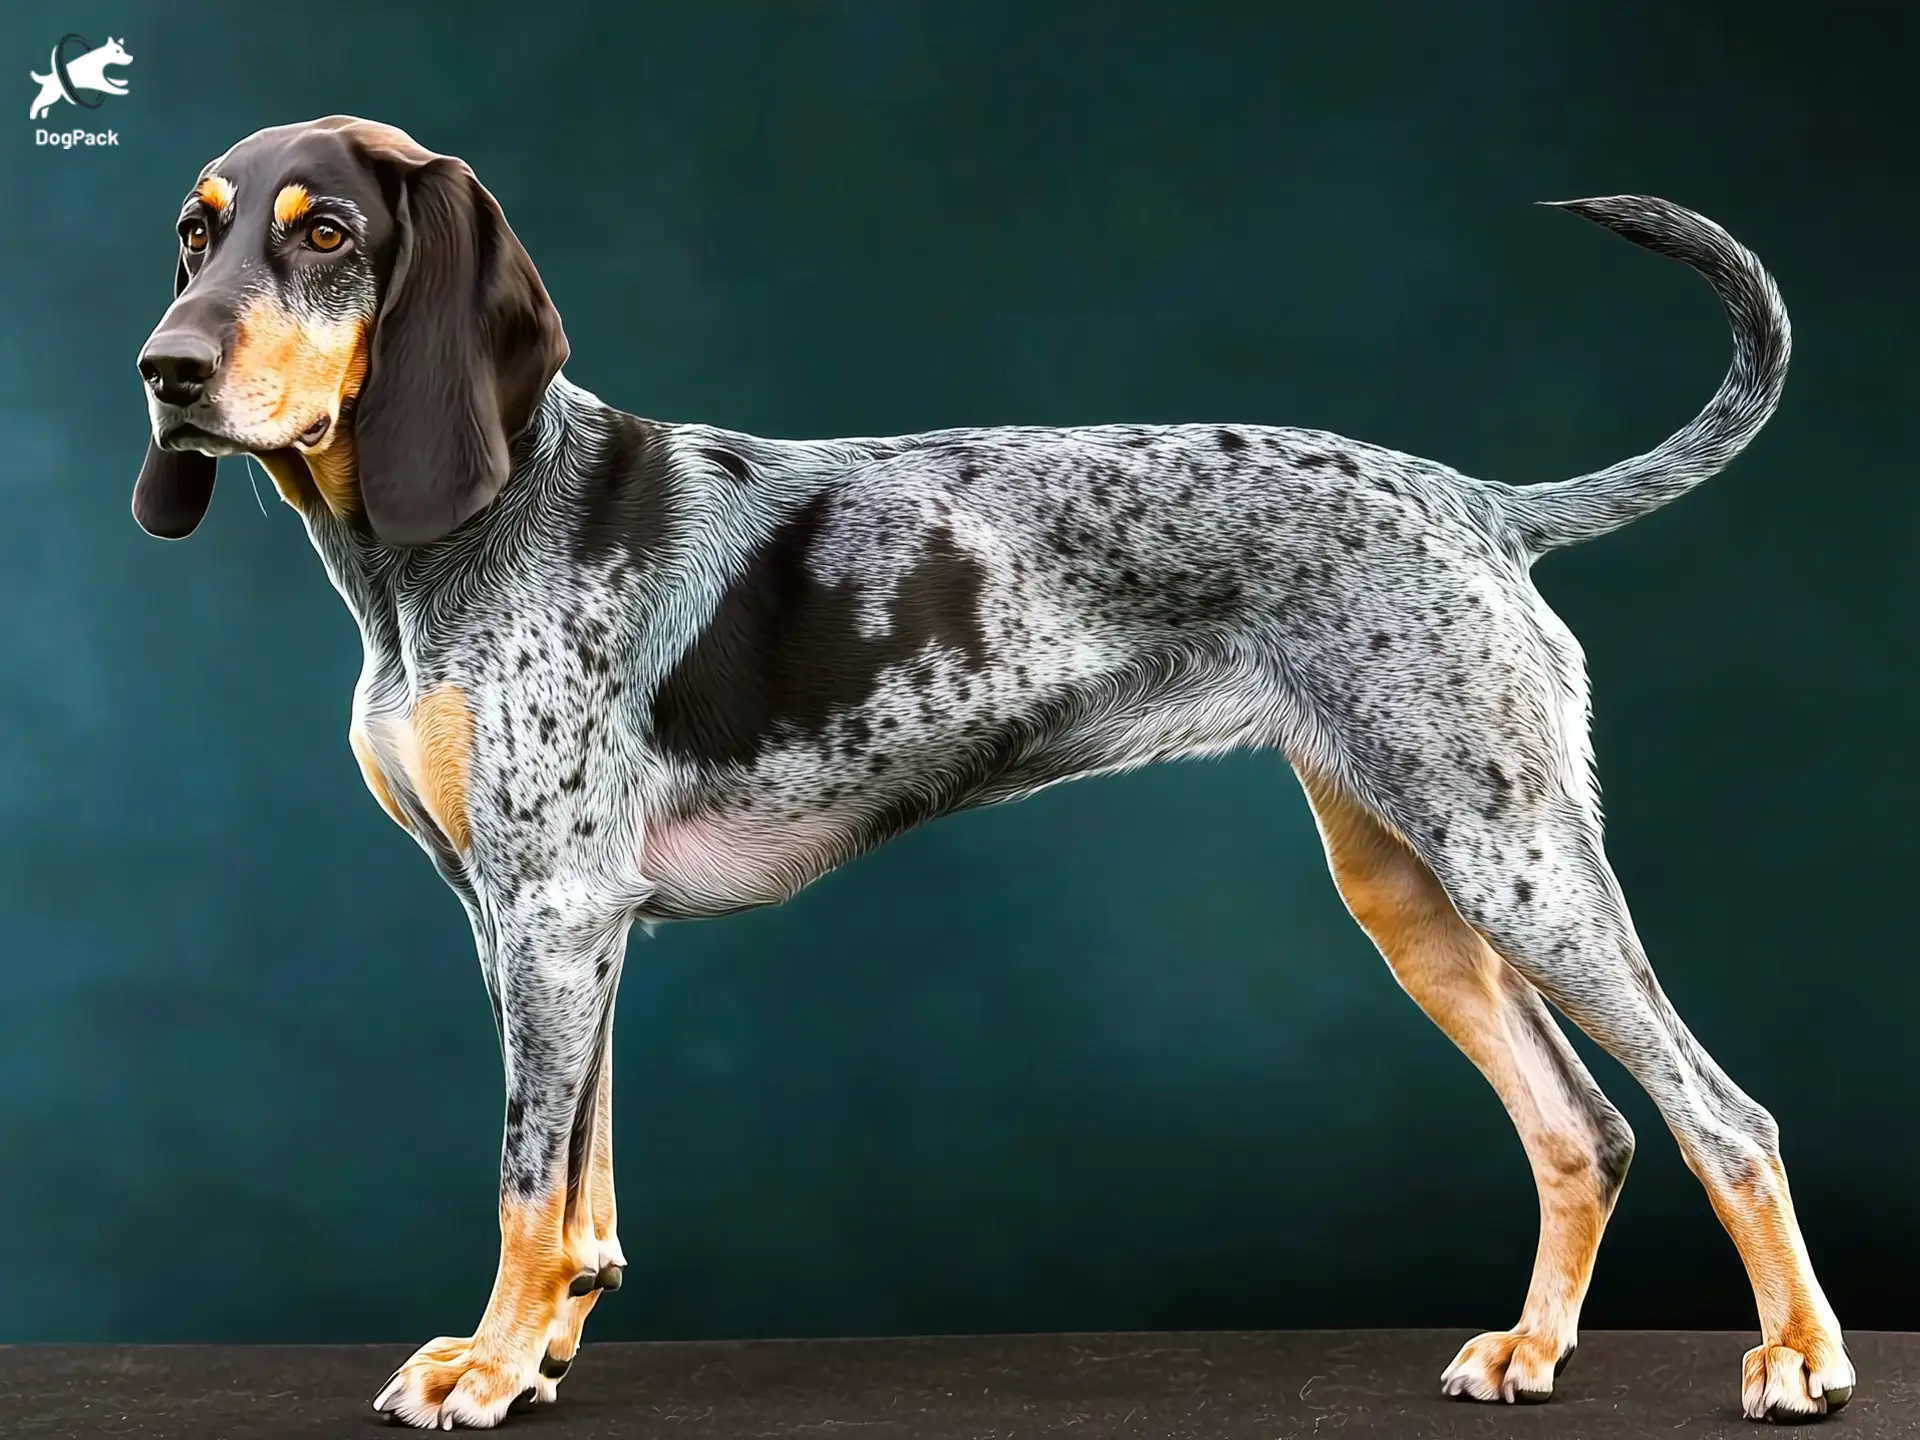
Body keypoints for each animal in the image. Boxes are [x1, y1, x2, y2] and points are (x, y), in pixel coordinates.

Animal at [127, 118, 1850, 1428]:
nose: (165, 370)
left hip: (1518, 867)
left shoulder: (550, 913)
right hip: (1411, 889)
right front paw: (539, 1348)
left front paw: (486, 1368)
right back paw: (1534, 1350)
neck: (448, 548)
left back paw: (1799, 1359)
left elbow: (524, 1178)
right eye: (196, 235)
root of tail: (1482, 503)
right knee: (1586, 1129)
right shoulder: (544, 924)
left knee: (1726, 1115)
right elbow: (584, 1182)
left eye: (328, 233)